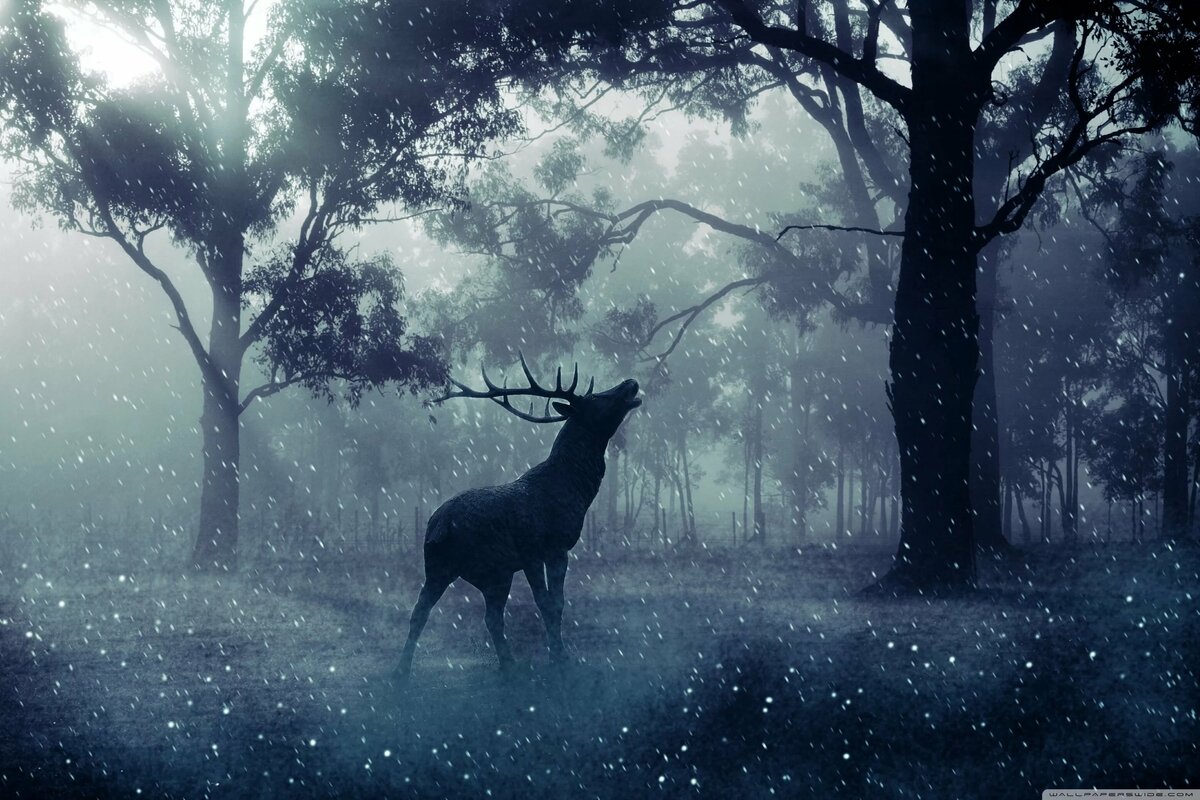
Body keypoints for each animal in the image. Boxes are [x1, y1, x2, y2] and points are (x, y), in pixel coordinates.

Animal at [394, 354, 641, 682]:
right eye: (595, 398)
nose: (631, 382)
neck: (575, 489)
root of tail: (441, 526)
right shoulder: (545, 547)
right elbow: (551, 603)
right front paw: (560, 658)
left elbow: (555, 603)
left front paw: (558, 655)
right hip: (493, 564)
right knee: (481, 615)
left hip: (452, 567)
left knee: (438, 613)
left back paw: (407, 670)